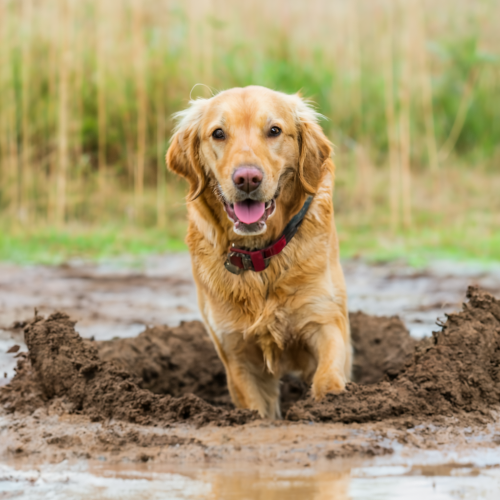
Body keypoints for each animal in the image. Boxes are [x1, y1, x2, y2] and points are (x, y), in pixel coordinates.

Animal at [166, 86, 350, 418]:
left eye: (274, 130)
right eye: (218, 133)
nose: (247, 178)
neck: (260, 256)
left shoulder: (325, 319)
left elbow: (327, 375)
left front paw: (328, 405)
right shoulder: (236, 352)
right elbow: (255, 406)